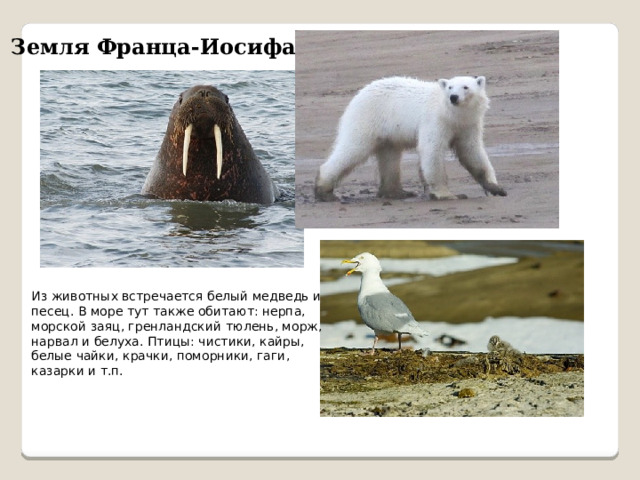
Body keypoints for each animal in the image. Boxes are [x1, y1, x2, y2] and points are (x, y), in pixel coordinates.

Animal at [314, 76, 507, 201]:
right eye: (450, 87)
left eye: (466, 87)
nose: (453, 97)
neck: (452, 115)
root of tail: (358, 94)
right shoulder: (435, 120)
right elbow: (432, 150)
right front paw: (448, 195)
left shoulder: (468, 125)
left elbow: (472, 152)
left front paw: (496, 188)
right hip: (368, 118)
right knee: (353, 148)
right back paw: (324, 191)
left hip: (387, 131)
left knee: (389, 157)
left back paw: (398, 193)